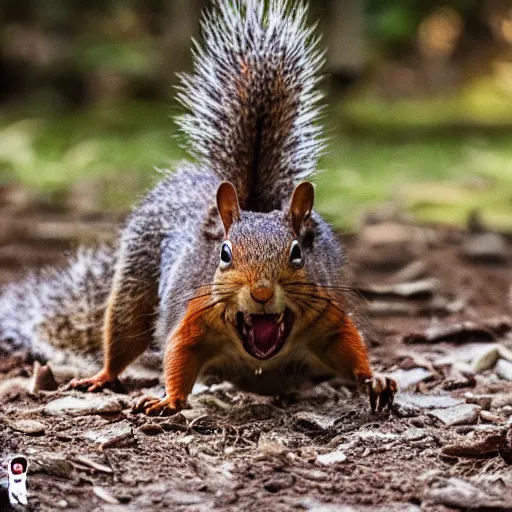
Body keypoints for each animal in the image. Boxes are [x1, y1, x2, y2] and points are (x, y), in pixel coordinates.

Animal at [0, 0, 396, 414]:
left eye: (297, 252)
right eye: (224, 254)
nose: (261, 293)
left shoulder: (327, 314)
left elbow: (346, 347)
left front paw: (375, 379)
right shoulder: (193, 316)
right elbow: (179, 354)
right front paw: (168, 400)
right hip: (133, 288)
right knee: (123, 335)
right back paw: (103, 375)